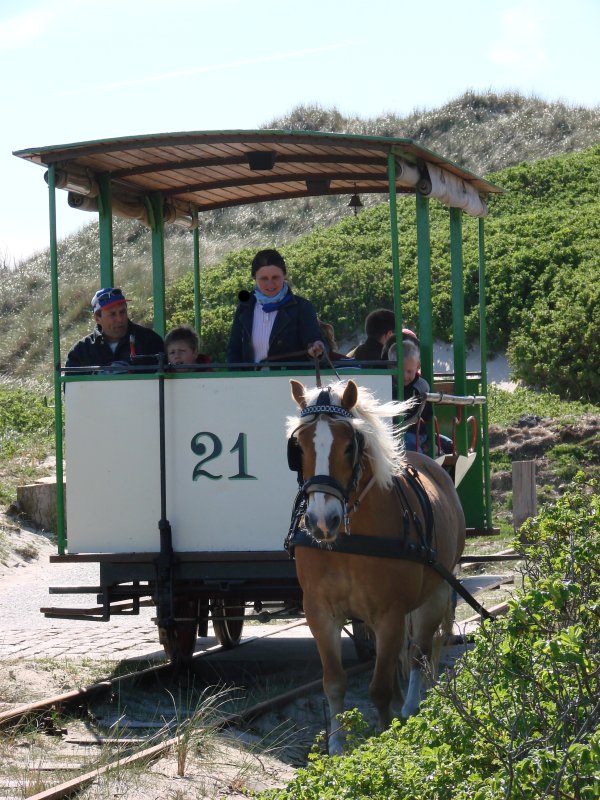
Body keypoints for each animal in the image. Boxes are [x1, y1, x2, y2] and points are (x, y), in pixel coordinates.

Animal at [288, 378, 466, 752]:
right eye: (299, 448)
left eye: (348, 447)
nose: (321, 521)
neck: (347, 541)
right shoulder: (319, 612)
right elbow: (334, 682)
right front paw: (337, 748)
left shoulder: (390, 614)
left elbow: (379, 688)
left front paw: (386, 739)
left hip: (435, 595)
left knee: (418, 652)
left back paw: (411, 707)